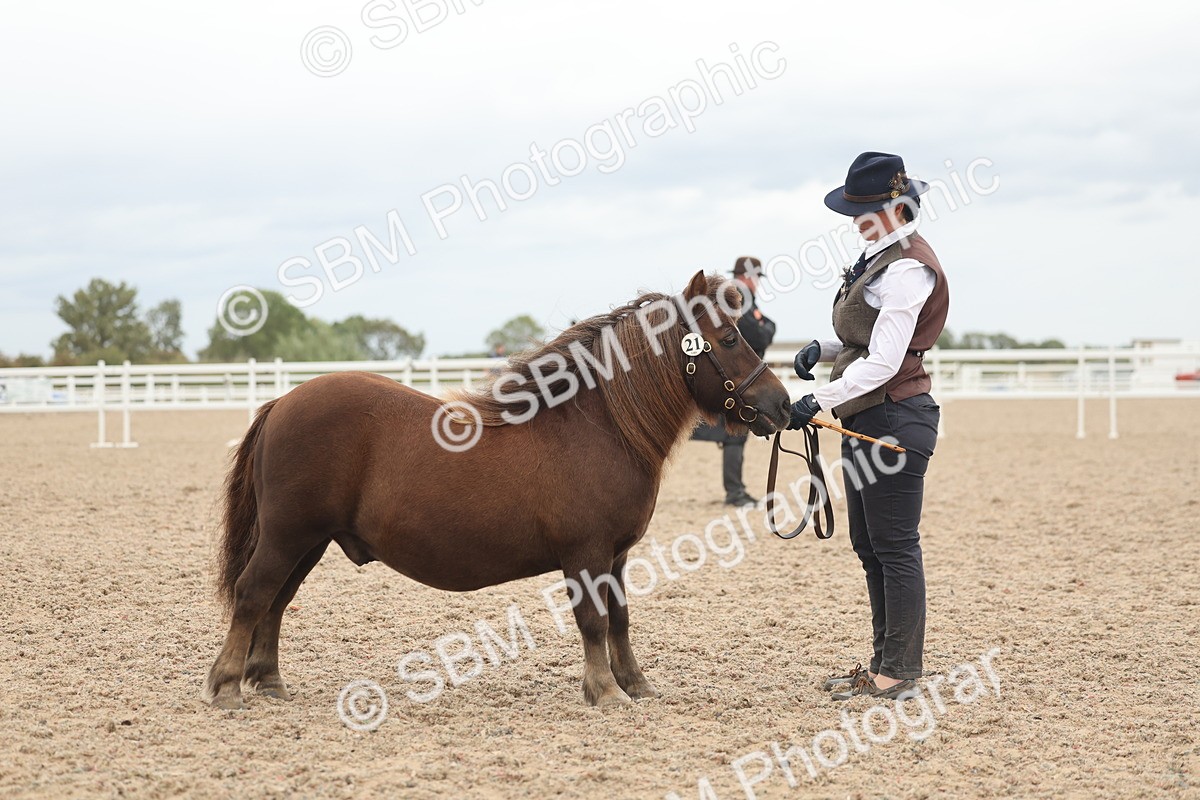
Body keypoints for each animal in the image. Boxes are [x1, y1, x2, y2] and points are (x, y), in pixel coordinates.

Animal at [203, 270, 791, 710]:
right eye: (731, 338)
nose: (783, 404)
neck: (596, 425)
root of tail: (282, 401)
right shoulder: (586, 554)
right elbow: (594, 621)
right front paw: (604, 692)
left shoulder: (617, 556)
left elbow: (621, 619)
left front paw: (636, 685)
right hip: (288, 534)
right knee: (254, 593)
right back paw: (228, 685)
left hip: (308, 541)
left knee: (276, 601)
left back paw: (269, 681)